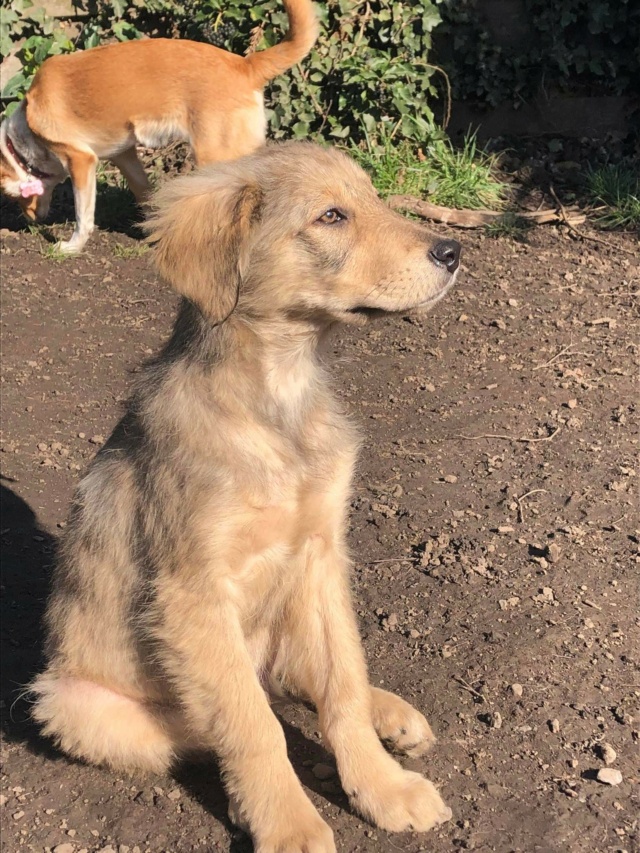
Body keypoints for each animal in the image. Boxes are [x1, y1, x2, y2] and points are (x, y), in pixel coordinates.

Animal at [0, 0, 318, 253]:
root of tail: (244, 65)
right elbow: (144, 192)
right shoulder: (125, 156)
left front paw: (71, 247)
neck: (24, 135)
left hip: (216, 156)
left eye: (14, 197)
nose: (30, 221)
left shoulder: (82, 162)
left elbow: (83, 215)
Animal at [31, 143, 460, 848]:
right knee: (220, 720)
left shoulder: (320, 552)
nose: (453, 251)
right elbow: (253, 727)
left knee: (299, 677)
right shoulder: (193, 593)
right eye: (331, 216)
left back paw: (389, 714)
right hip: (75, 704)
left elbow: (343, 681)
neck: (277, 400)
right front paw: (288, 821)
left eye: (373, 199)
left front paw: (382, 785)